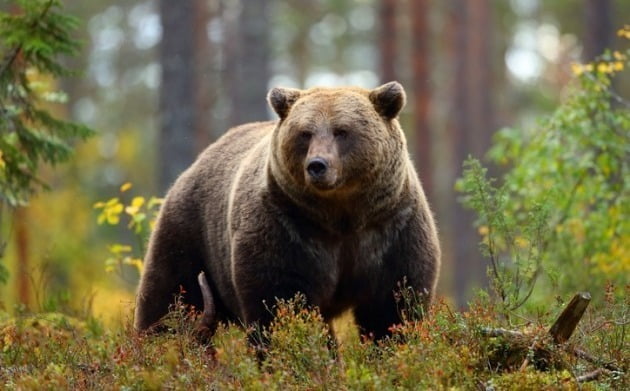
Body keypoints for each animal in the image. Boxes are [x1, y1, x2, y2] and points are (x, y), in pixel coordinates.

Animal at [135, 82, 440, 340]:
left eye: (342, 131)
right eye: (305, 133)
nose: (317, 165)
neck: (342, 215)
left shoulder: (391, 228)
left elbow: (393, 307)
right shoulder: (287, 228)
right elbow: (281, 302)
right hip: (190, 233)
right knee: (170, 299)